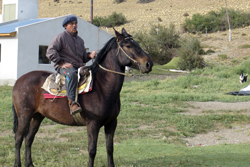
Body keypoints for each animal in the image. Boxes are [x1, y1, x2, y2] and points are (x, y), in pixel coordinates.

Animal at [12, 28, 153, 166]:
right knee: (18, 138)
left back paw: (29, 164)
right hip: (24, 115)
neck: (101, 87)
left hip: (37, 116)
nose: (149, 64)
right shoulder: (92, 124)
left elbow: (110, 148)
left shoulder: (112, 123)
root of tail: (18, 81)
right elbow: (92, 150)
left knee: (29, 139)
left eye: (137, 43)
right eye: (128, 45)